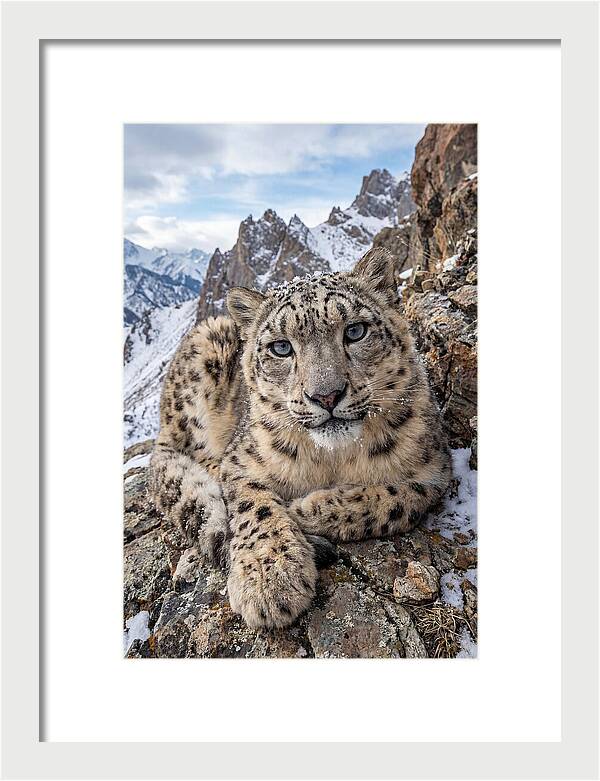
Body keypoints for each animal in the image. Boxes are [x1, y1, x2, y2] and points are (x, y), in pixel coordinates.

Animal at [149, 248, 452, 629]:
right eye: (281, 348)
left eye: (355, 331)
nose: (326, 395)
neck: (333, 459)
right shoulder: (240, 461)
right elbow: (254, 507)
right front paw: (269, 579)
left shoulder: (435, 470)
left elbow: (398, 499)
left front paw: (307, 509)